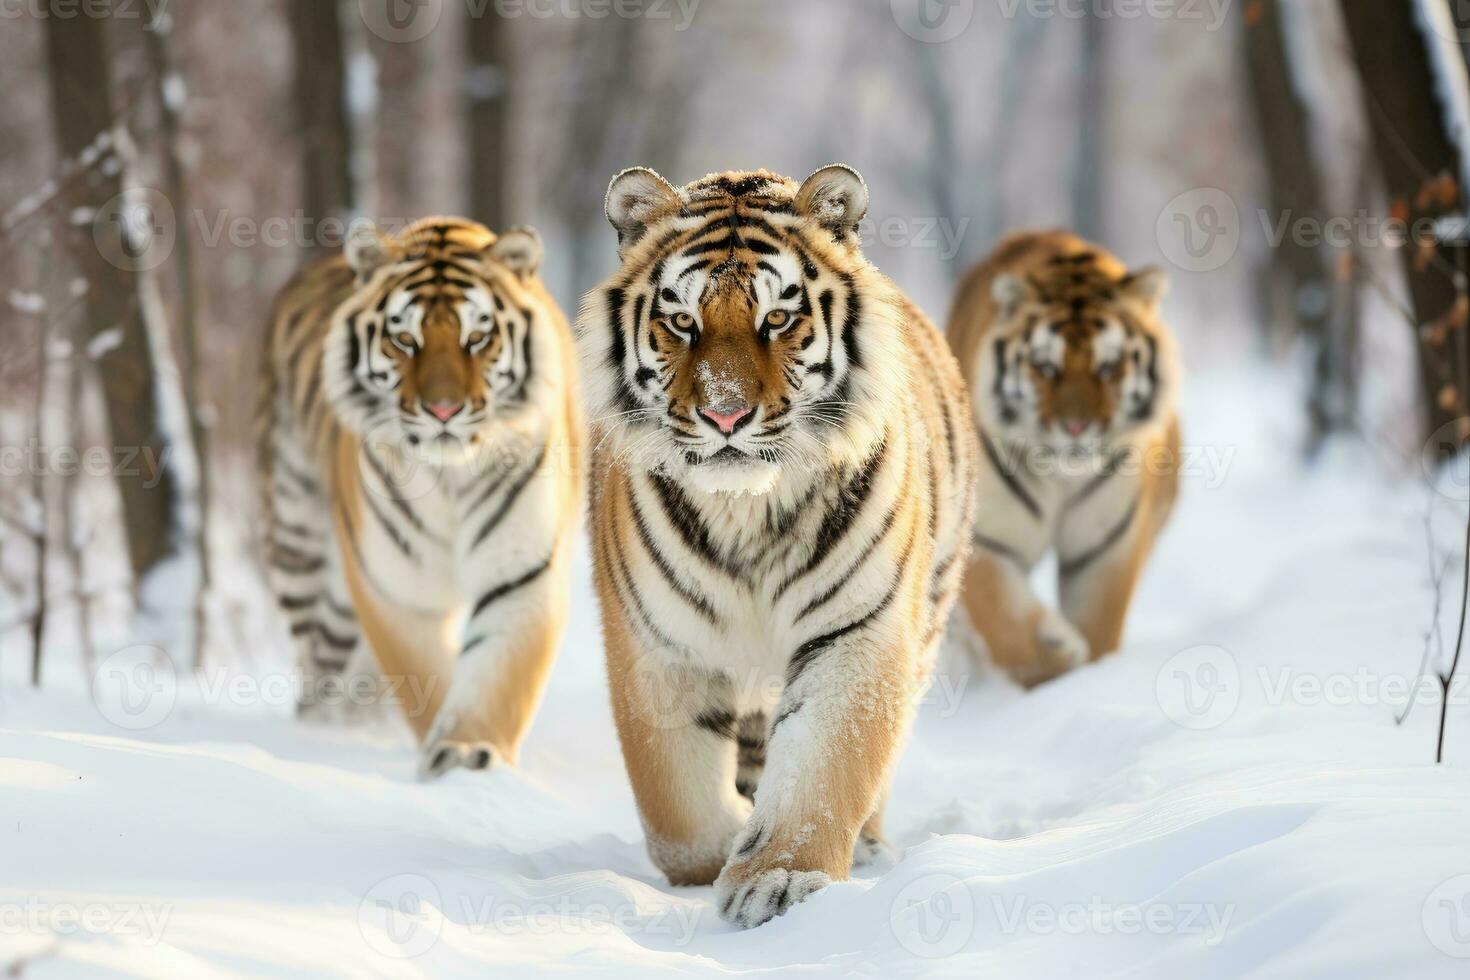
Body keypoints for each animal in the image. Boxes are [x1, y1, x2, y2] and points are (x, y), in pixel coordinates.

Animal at [261, 215, 582, 781]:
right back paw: (321, 727)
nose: (443, 411)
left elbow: (496, 677)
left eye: (477, 337)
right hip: (302, 542)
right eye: (405, 339)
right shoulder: (395, 584)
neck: (450, 479)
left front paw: (468, 753)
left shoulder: (522, 574)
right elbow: (424, 676)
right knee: (318, 658)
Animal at [573, 166, 976, 928]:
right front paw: (726, 849)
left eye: (778, 319)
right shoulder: (659, 647)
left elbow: (824, 768)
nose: (725, 415)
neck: (747, 512)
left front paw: (778, 881)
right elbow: (680, 817)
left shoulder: (858, 632)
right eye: (681, 321)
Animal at [940, 230, 1181, 690]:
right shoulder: (985, 537)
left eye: (1109, 367)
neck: (1061, 478)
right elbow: (1006, 622)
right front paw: (1056, 653)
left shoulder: (1106, 546)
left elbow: (1099, 626)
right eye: (1045, 367)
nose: (1076, 427)